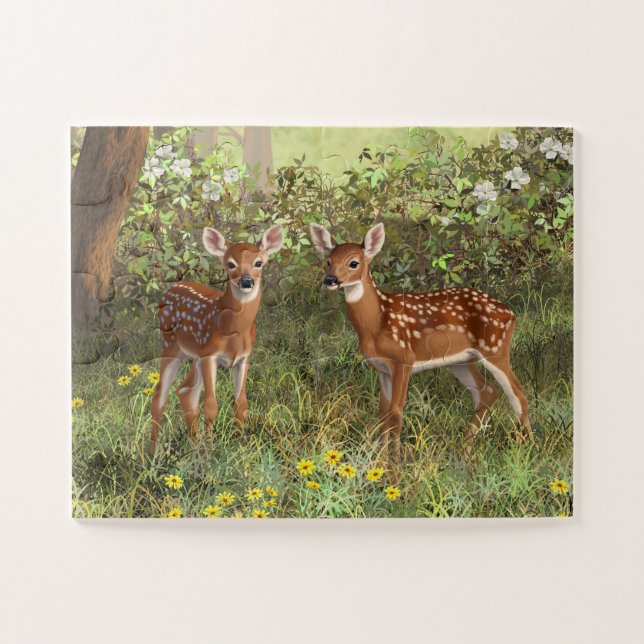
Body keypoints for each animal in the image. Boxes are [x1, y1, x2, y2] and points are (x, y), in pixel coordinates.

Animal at [150, 224, 284, 452]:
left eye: (259, 263)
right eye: (230, 264)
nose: (246, 281)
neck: (233, 330)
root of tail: (170, 289)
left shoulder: (243, 358)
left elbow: (241, 404)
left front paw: (242, 445)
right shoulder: (209, 355)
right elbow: (211, 405)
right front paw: (212, 450)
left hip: (194, 356)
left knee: (185, 391)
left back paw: (194, 447)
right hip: (171, 346)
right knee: (160, 394)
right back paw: (151, 452)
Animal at [309, 222, 532, 463]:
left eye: (353, 263)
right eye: (329, 261)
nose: (330, 280)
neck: (377, 324)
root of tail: (511, 312)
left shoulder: (404, 359)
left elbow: (396, 412)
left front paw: (395, 464)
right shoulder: (382, 368)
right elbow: (383, 413)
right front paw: (379, 460)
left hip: (495, 348)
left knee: (518, 392)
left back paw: (530, 446)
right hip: (461, 361)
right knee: (486, 391)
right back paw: (463, 451)